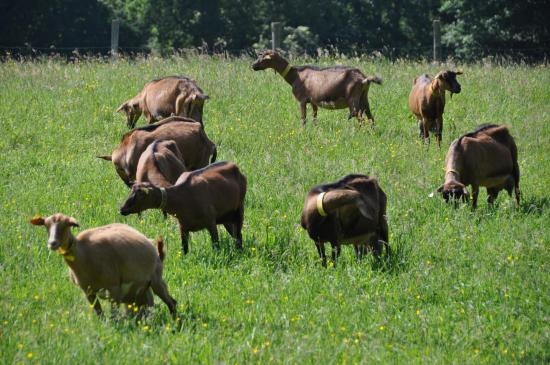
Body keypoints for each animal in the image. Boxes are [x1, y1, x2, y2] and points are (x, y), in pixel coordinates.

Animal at [29, 212, 177, 318]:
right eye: (46, 226)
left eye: (67, 225)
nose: (52, 243)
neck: (83, 254)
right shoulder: (87, 290)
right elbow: (99, 314)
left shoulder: (113, 287)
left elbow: (114, 316)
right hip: (141, 289)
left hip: (156, 280)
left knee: (171, 302)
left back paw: (175, 323)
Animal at [252, 50, 382, 126]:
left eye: (264, 59)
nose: (253, 65)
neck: (295, 75)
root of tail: (364, 78)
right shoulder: (313, 101)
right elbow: (314, 117)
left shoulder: (302, 100)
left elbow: (303, 118)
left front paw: (303, 131)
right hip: (364, 98)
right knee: (370, 117)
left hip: (353, 99)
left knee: (359, 117)